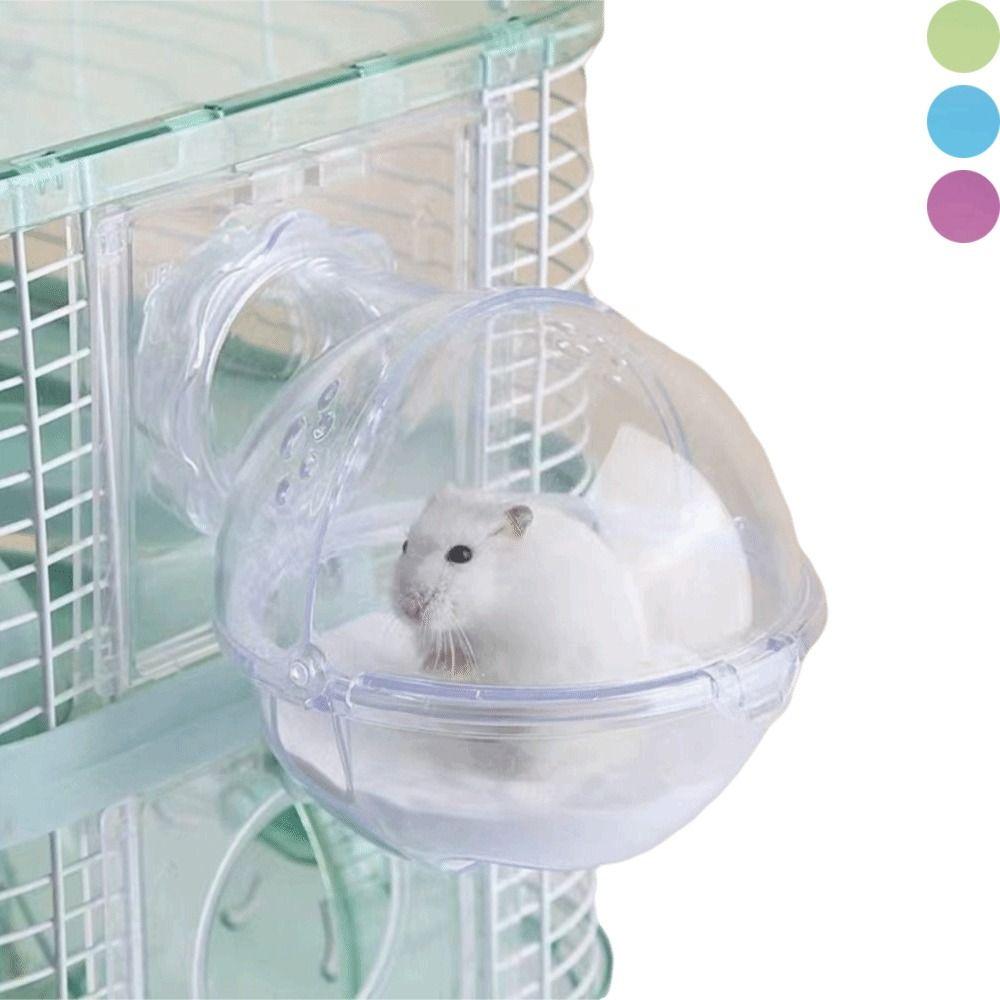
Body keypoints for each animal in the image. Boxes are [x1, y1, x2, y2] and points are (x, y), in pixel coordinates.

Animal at [393, 485, 646, 685]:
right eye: (405, 545)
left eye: (461, 554)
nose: (408, 609)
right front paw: (429, 664)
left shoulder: (519, 655)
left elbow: (483, 665)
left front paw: (446, 666)